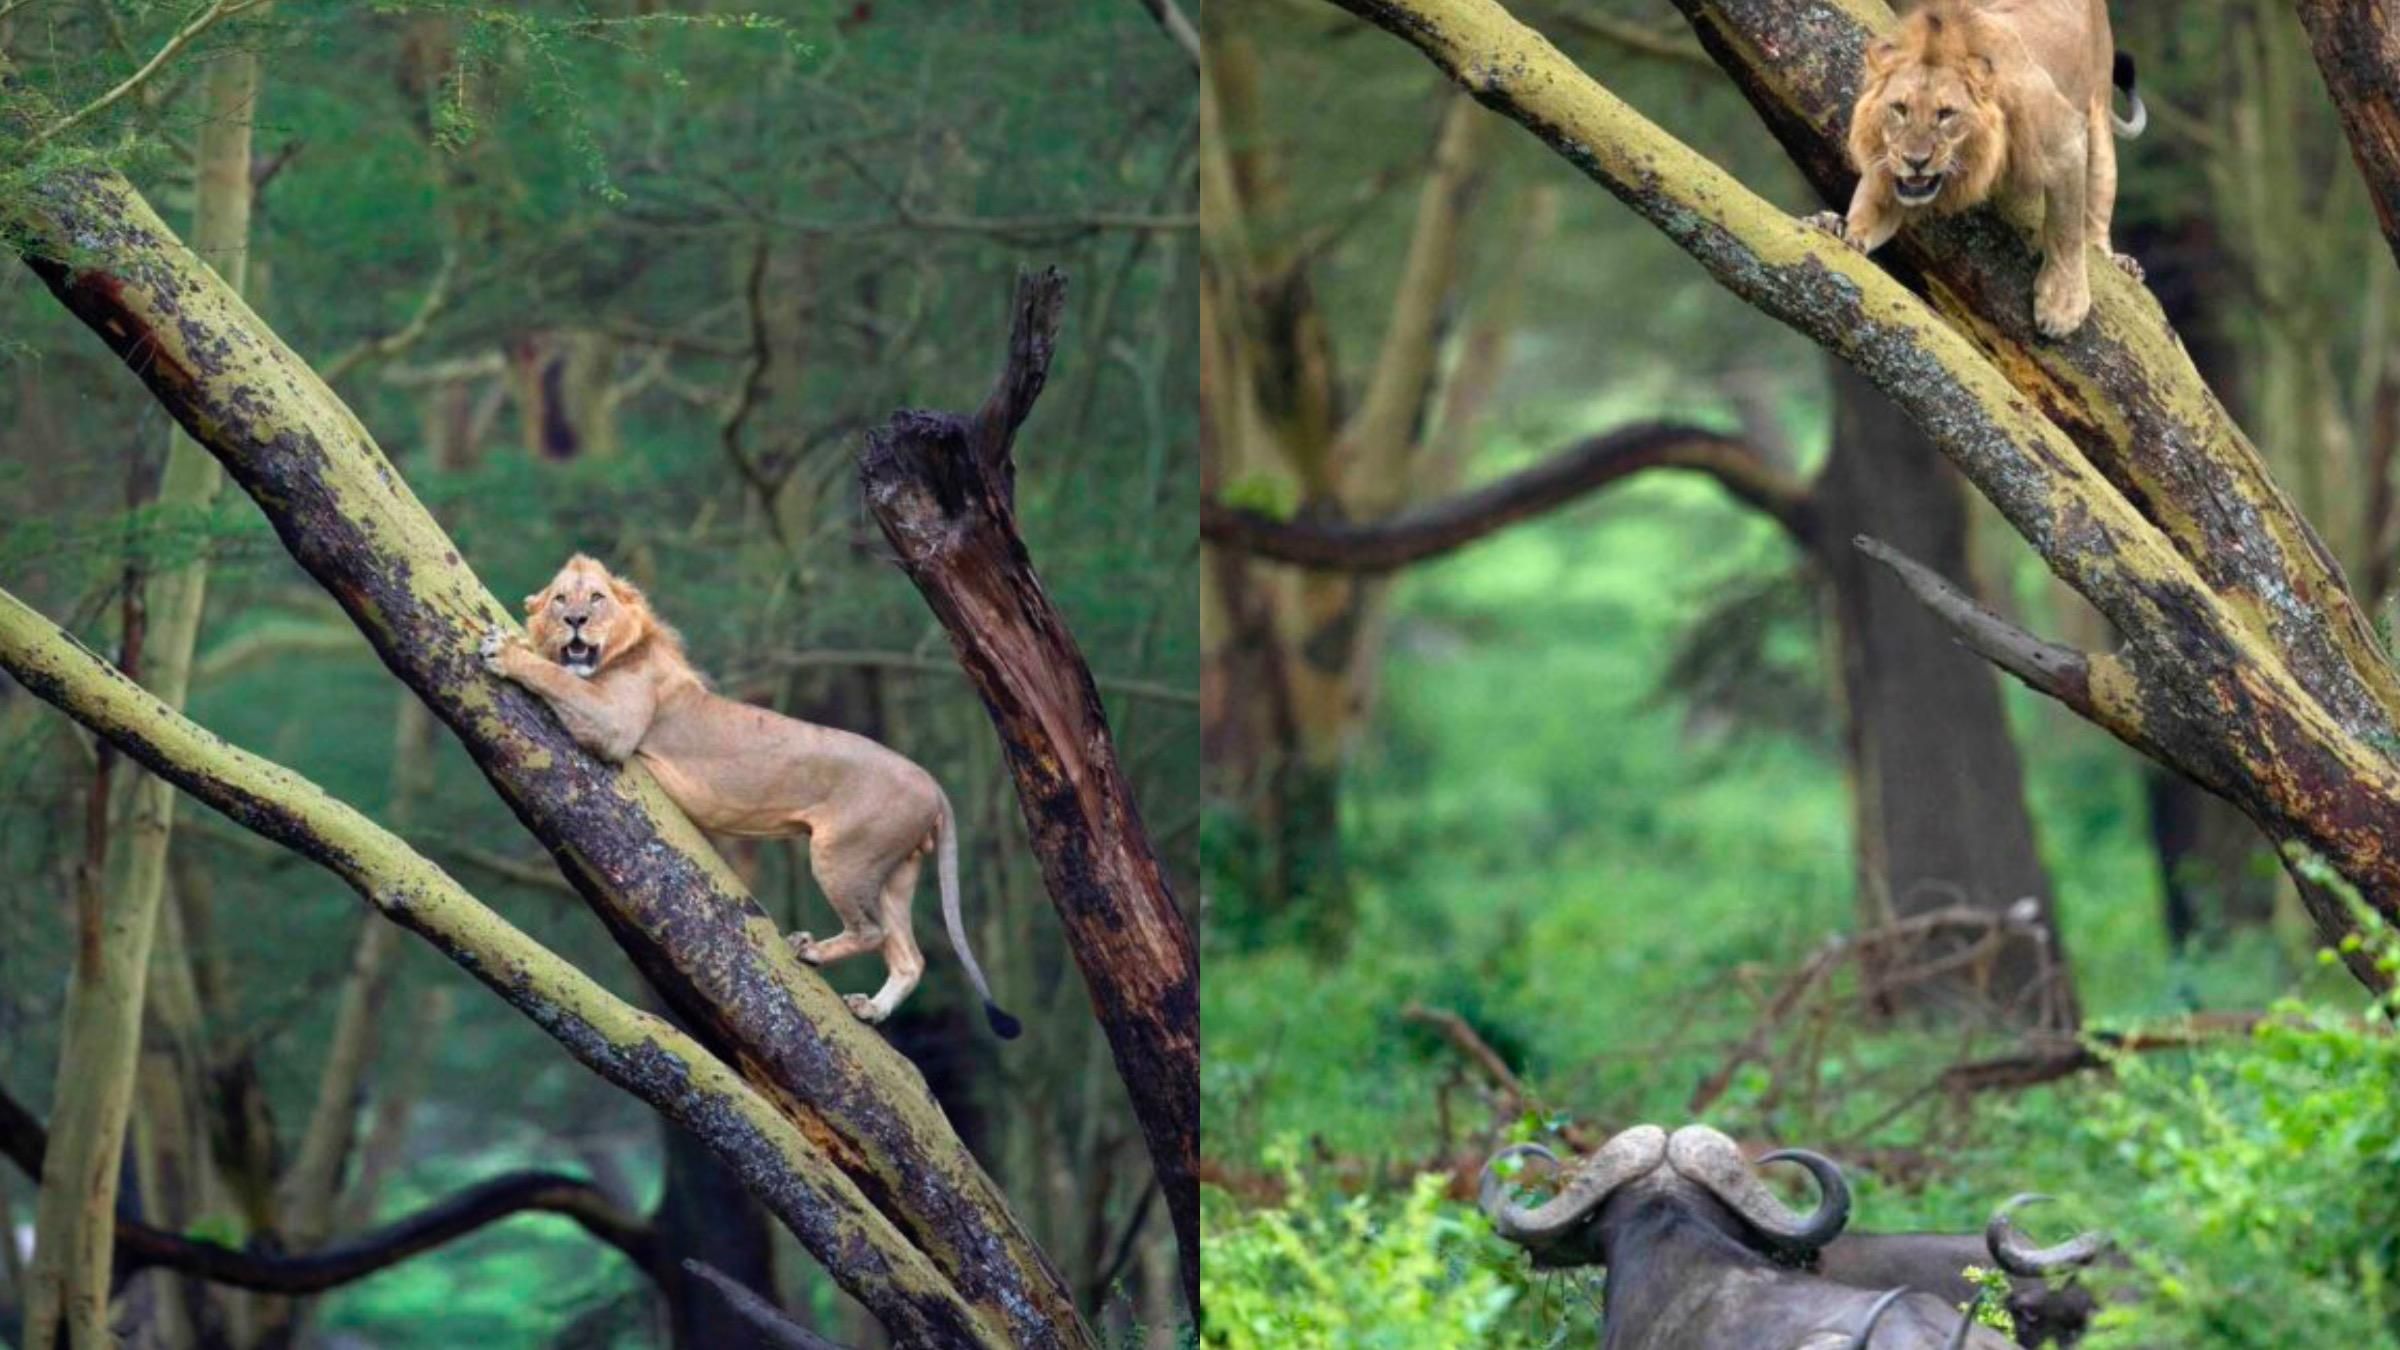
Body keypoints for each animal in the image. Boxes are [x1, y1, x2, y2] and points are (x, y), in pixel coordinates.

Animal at [479, 554, 1021, 1038]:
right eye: (559, 599)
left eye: (596, 598)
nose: (575, 621)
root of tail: (934, 785)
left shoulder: (616, 725)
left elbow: (557, 676)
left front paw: (506, 652)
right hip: (895, 871)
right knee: (910, 956)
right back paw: (871, 1009)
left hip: (843, 854)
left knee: (874, 932)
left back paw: (811, 950)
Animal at [1813, 0, 2147, 337]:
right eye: (1900, 108)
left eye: (1946, 113)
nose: (1915, 160)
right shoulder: (1890, 172)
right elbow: (1869, 211)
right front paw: (1843, 228)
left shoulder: (2065, 140)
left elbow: (2065, 230)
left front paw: (2062, 306)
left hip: (2099, 110)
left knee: (2096, 209)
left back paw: (2118, 260)